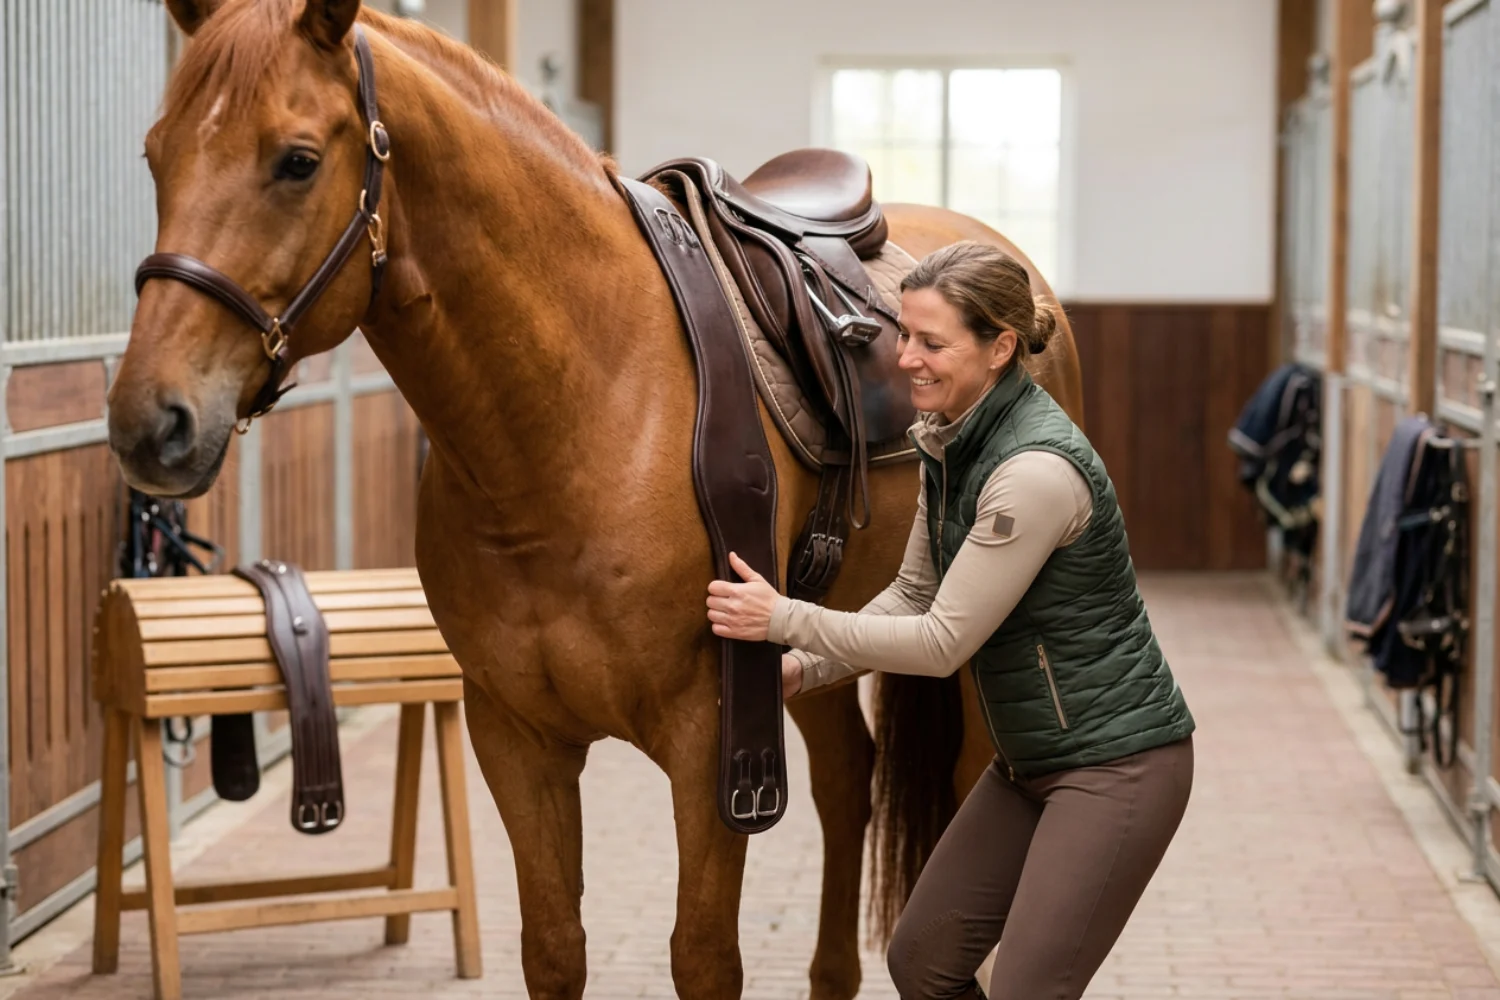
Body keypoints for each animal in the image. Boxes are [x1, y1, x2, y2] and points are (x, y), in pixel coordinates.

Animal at [106, 2, 1085, 996]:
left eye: (297, 160)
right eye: (153, 155)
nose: (150, 422)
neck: (588, 406)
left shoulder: (715, 745)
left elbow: (703, 955)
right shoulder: (515, 738)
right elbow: (552, 947)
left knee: (974, 786)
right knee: (849, 782)